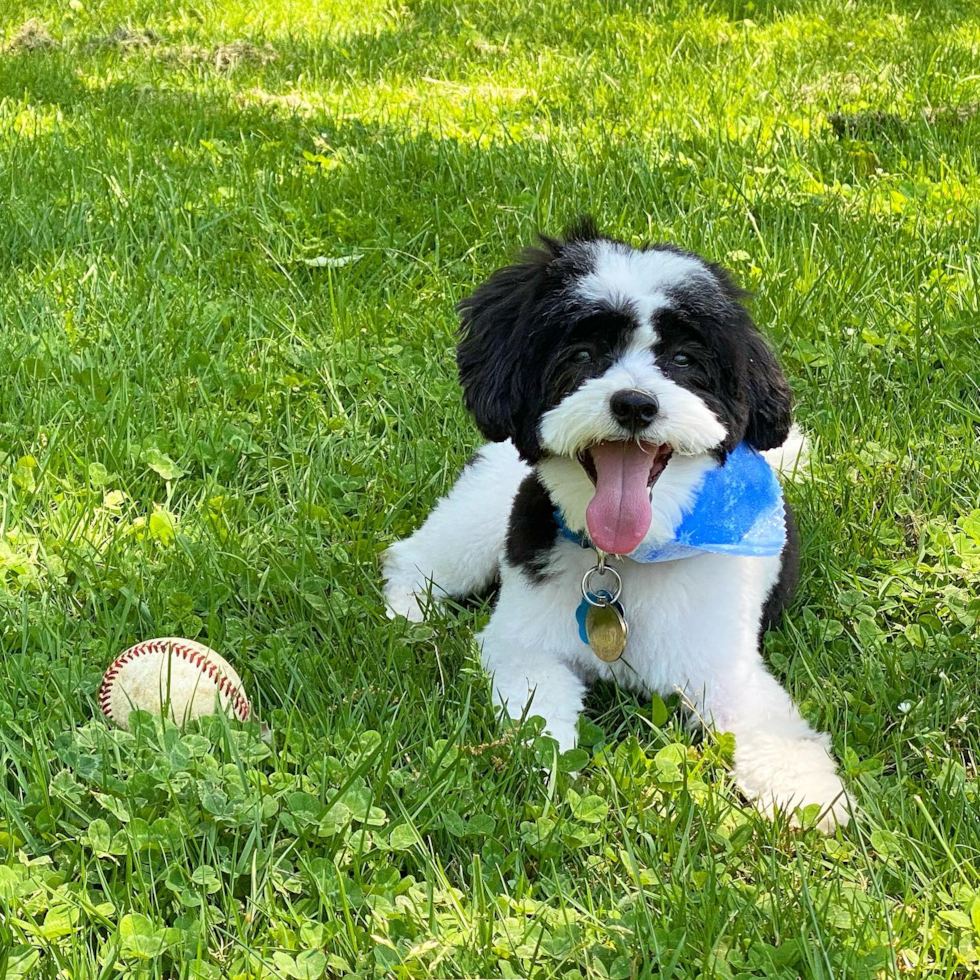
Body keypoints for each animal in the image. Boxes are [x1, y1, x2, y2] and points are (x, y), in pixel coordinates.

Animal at [382, 222, 848, 836]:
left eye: (684, 360)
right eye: (582, 354)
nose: (634, 404)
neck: (630, 556)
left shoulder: (723, 666)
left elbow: (767, 724)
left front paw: (806, 790)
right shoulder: (523, 644)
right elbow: (541, 710)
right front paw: (557, 769)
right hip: (478, 519)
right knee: (418, 557)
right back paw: (410, 612)